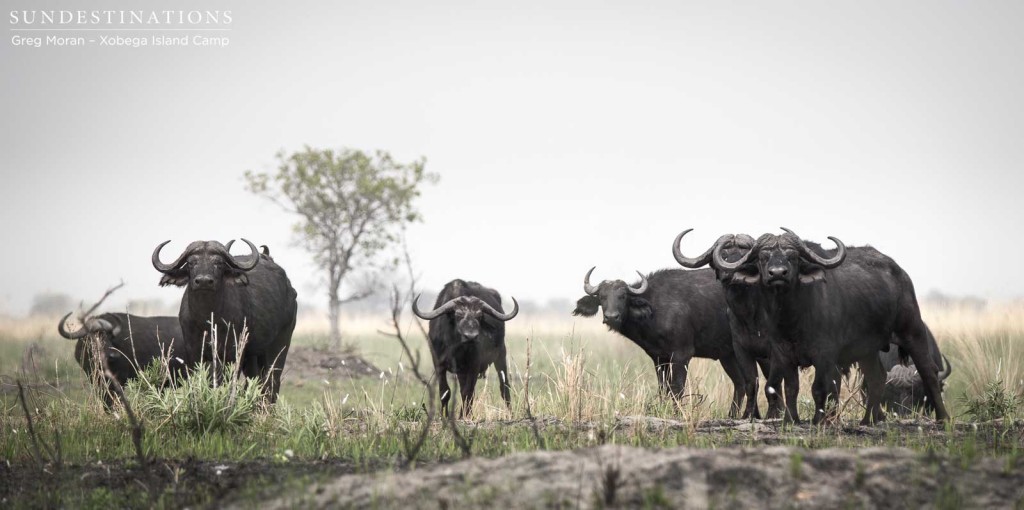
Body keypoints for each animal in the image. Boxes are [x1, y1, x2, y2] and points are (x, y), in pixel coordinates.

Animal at [151, 238, 299, 401]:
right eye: (191, 263)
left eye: (219, 263)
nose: (203, 281)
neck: (207, 319)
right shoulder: (194, 352)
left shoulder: (233, 354)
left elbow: (226, 383)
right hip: (253, 355)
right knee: (254, 381)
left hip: (280, 344)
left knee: (272, 382)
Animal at [409, 278, 516, 417]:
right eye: (458, 314)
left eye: (479, 315)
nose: (471, 336)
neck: (456, 347)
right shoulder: (439, 364)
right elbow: (445, 392)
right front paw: (445, 416)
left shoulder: (474, 365)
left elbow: (467, 392)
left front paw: (463, 416)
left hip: (501, 355)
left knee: (504, 386)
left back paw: (509, 413)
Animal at [573, 266, 749, 417]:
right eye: (602, 297)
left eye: (622, 296)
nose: (611, 317)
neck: (654, 310)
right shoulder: (658, 358)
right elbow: (663, 388)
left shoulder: (682, 355)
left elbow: (677, 387)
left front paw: (677, 414)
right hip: (728, 355)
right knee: (741, 383)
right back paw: (733, 416)